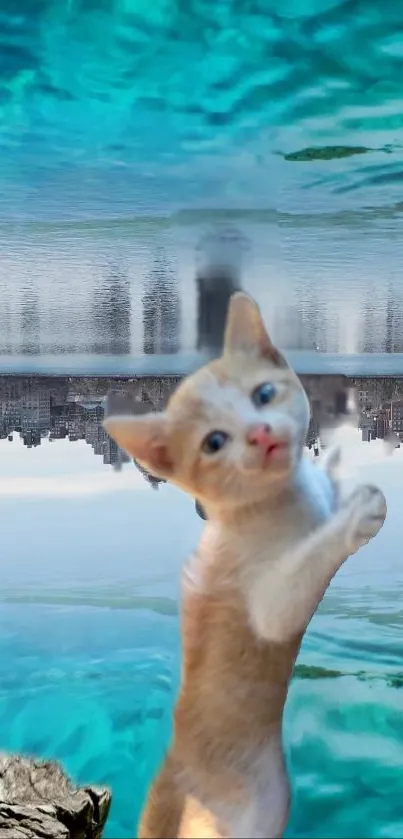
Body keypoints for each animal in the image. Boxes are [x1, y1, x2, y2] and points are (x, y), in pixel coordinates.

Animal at [105, 294, 388, 839]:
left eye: (264, 394)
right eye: (214, 443)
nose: (259, 434)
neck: (281, 499)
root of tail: (174, 772)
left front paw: (335, 466)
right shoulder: (267, 601)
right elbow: (298, 577)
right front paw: (355, 516)